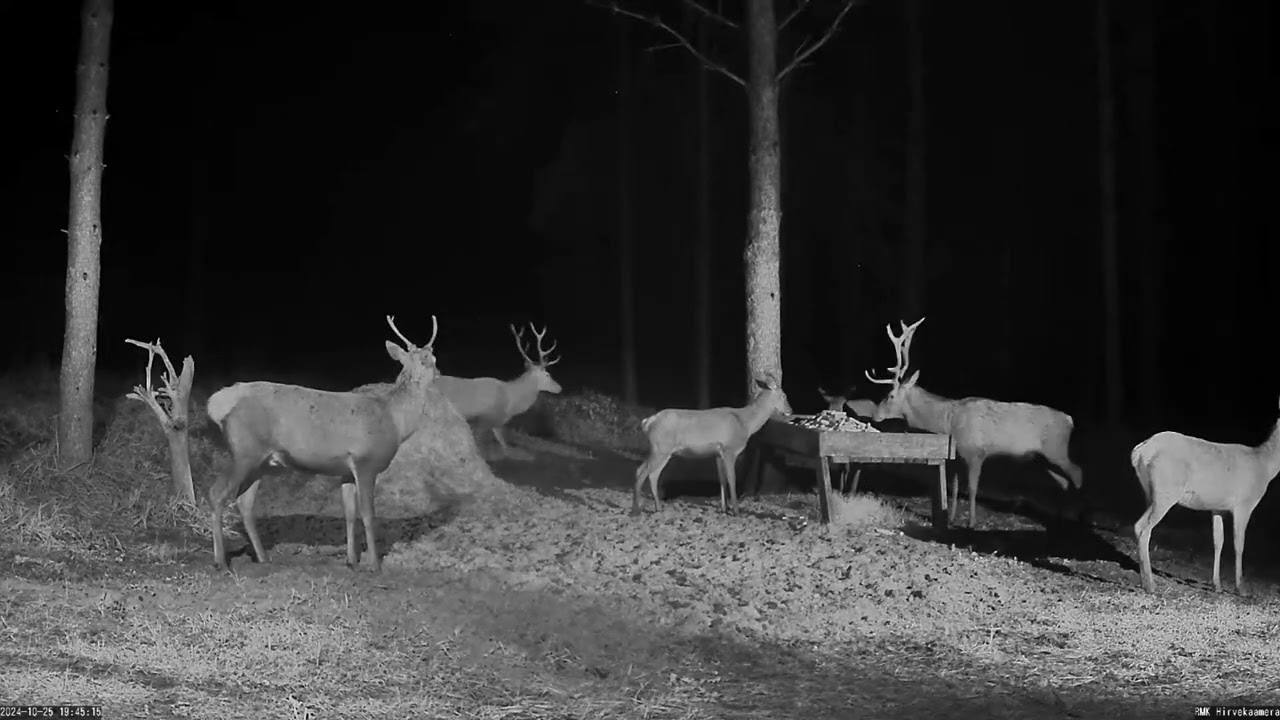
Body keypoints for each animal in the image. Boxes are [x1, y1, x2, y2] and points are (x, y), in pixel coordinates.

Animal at [205, 314, 439, 573]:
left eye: (433, 357)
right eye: (424, 360)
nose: (438, 373)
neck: (394, 421)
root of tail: (216, 403)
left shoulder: (346, 469)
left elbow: (350, 513)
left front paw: (351, 561)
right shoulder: (365, 461)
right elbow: (368, 514)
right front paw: (375, 565)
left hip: (262, 461)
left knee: (244, 501)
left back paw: (263, 557)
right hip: (244, 450)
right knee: (216, 493)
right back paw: (219, 561)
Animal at [432, 323, 562, 455]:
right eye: (547, 375)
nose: (559, 388)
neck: (510, 403)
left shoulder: (495, 422)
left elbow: (503, 444)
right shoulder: (484, 418)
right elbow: (482, 444)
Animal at [632, 375, 792, 517]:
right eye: (784, 395)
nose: (790, 410)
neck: (745, 424)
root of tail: (647, 422)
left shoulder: (718, 453)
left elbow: (722, 480)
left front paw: (724, 508)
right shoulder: (729, 449)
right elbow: (732, 478)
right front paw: (736, 511)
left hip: (658, 449)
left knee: (647, 472)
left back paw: (657, 508)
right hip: (661, 448)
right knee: (643, 472)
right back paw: (636, 510)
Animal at [865, 317, 1083, 527]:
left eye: (891, 395)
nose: (875, 414)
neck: (948, 423)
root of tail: (1070, 420)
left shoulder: (976, 452)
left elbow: (971, 487)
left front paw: (971, 523)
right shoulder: (957, 456)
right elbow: (954, 487)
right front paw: (951, 518)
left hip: (1057, 449)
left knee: (1078, 473)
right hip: (1044, 457)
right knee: (1063, 481)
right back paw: (1058, 521)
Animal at [1129, 399, 1280, 593]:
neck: (1265, 467)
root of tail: (1140, 451)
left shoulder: (1218, 507)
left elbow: (1218, 541)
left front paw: (1217, 585)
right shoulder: (1244, 503)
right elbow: (1239, 544)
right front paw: (1241, 589)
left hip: (1149, 492)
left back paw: (1144, 580)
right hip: (1166, 491)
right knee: (1142, 527)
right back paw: (1150, 584)